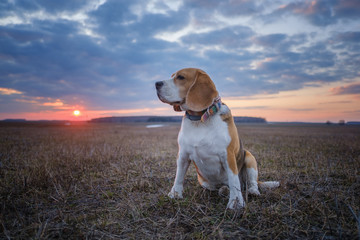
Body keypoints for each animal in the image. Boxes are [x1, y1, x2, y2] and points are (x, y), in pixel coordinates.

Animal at [155, 68, 278, 210]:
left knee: (250, 183)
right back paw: (223, 189)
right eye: (172, 76)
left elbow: (234, 180)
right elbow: (179, 176)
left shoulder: (228, 155)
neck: (199, 119)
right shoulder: (183, 155)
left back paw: (252, 191)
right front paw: (175, 194)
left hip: (249, 157)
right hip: (204, 181)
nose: (156, 83)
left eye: (181, 77)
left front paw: (236, 202)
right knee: (221, 187)